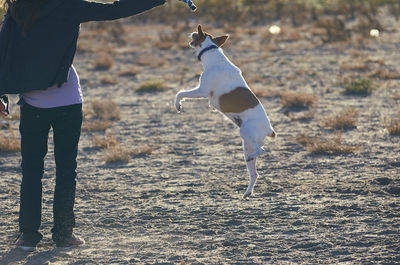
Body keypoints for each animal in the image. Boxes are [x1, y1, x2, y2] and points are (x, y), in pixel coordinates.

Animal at [175, 25, 276, 198]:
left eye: (195, 35)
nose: (190, 33)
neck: (212, 53)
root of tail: (269, 129)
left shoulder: (202, 91)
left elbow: (180, 93)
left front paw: (178, 105)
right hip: (247, 143)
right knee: (255, 171)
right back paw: (247, 192)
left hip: (245, 133)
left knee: (261, 151)